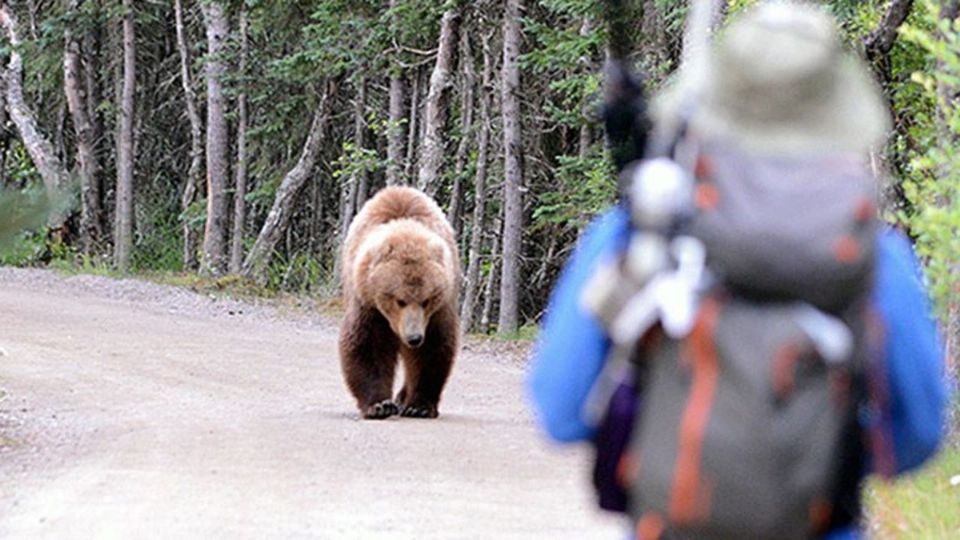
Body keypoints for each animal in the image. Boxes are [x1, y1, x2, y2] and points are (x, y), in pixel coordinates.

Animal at [338, 185, 462, 418]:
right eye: (400, 300)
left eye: (426, 300)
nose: (414, 338)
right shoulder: (368, 303)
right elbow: (368, 345)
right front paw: (379, 405)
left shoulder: (437, 312)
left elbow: (431, 349)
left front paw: (419, 405)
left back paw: (403, 397)